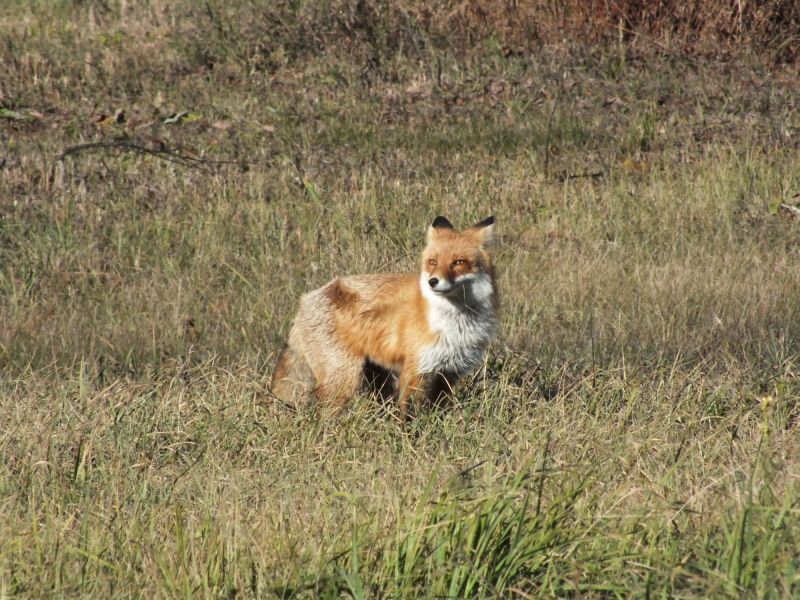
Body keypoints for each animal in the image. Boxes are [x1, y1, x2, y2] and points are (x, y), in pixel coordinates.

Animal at [274, 216, 500, 418]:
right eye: (433, 262)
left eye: (459, 262)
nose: (432, 281)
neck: (455, 324)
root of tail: (305, 300)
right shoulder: (415, 371)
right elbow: (408, 414)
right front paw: (409, 435)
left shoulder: (448, 374)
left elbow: (440, 412)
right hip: (344, 380)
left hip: (376, 378)